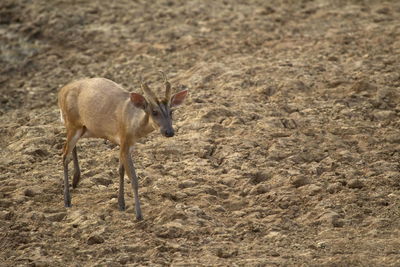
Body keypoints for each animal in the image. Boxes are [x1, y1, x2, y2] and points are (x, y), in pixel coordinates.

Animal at [57, 72, 188, 221]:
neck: (133, 122)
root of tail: (61, 92)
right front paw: (138, 215)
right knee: (64, 154)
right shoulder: (124, 140)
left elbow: (121, 170)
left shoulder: (127, 144)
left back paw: (76, 180)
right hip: (72, 123)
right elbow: (134, 179)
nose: (169, 132)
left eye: (171, 111)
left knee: (70, 148)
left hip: (85, 128)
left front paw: (121, 204)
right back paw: (67, 200)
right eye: (154, 112)